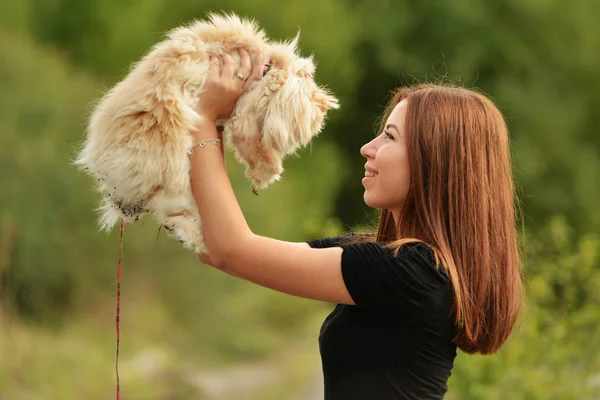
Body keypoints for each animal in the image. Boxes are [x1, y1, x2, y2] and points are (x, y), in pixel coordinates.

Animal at [74, 13, 338, 253]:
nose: (324, 107)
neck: (268, 70)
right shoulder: (247, 113)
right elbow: (256, 146)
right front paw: (267, 173)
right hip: (174, 170)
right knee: (171, 210)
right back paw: (199, 239)